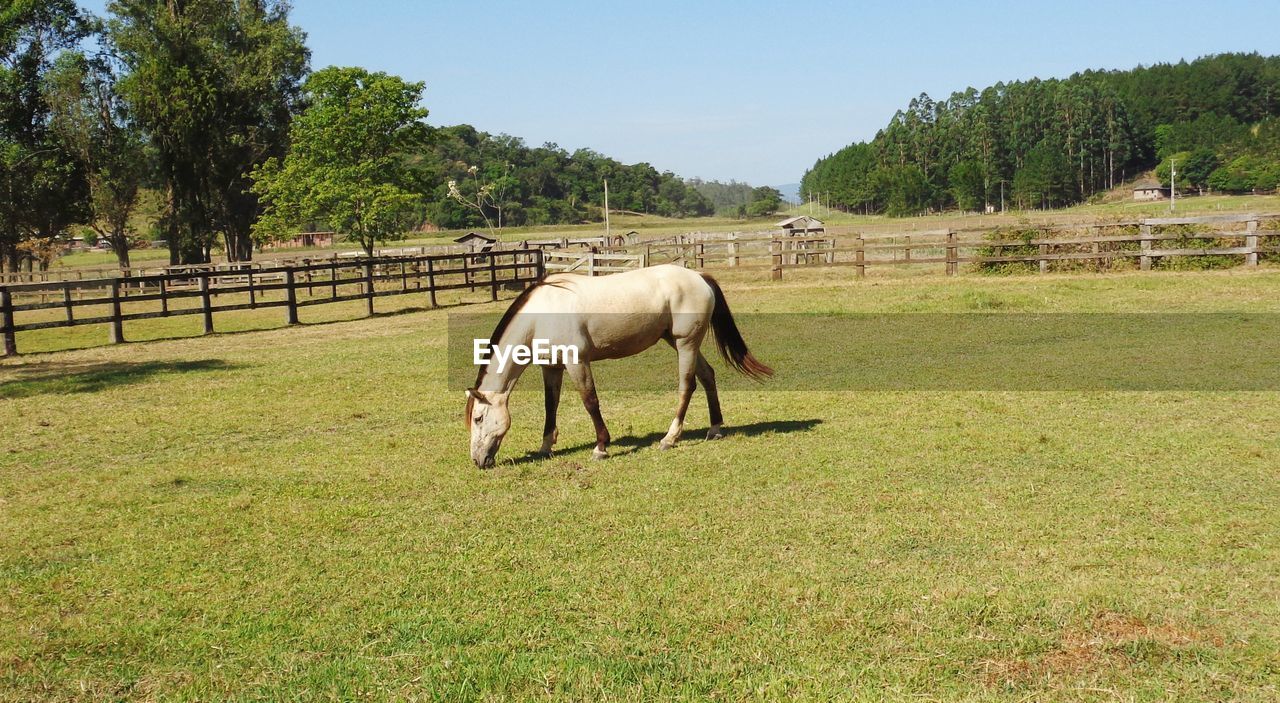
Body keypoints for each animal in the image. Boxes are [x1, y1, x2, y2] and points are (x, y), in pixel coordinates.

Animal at [468, 266, 773, 468]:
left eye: (478, 418)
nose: (478, 460)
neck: (541, 314)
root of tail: (699, 277)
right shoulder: (552, 366)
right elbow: (550, 405)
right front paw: (546, 447)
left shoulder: (577, 361)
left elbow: (590, 401)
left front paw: (601, 446)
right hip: (679, 342)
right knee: (708, 376)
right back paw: (715, 428)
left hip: (685, 343)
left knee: (688, 386)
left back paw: (670, 438)